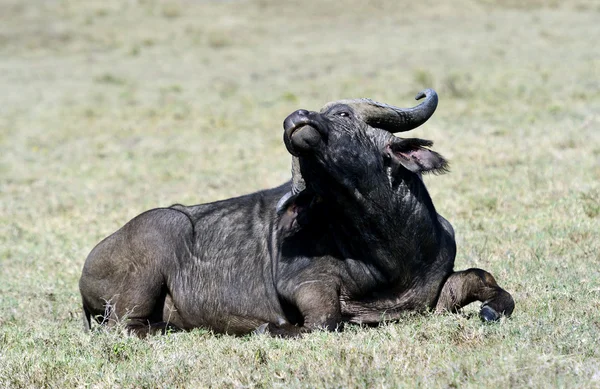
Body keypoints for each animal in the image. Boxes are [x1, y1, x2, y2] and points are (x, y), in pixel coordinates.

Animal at [77, 88, 512, 336]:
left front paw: (491, 309)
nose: (294, 120)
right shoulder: (306, 287)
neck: (389, 251)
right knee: (124, 328)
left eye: (342, 114)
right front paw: (270, 328)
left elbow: (483, 279)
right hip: (150, 258)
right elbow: (324, 322)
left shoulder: (434, 290)